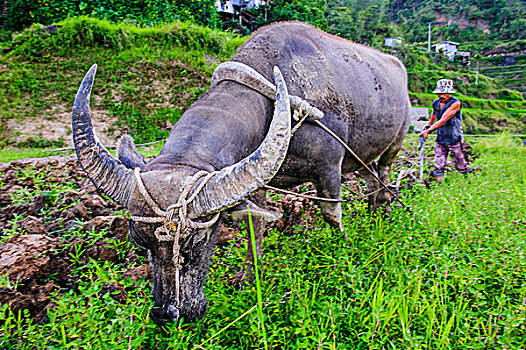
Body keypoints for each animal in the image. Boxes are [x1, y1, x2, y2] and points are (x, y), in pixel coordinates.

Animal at [72, 21, 414, 326]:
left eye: (198, 240)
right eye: (138, 242)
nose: (167, 314)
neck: (279, 101)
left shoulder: (329, 167)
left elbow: (331, 215)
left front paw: (342, 248)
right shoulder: (258, 180)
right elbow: (255, 226)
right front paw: (250, 276)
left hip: (394, 144)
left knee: (384, 178)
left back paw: (383, 215)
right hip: (364, 158)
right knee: (372, 182)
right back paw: (374, 213)